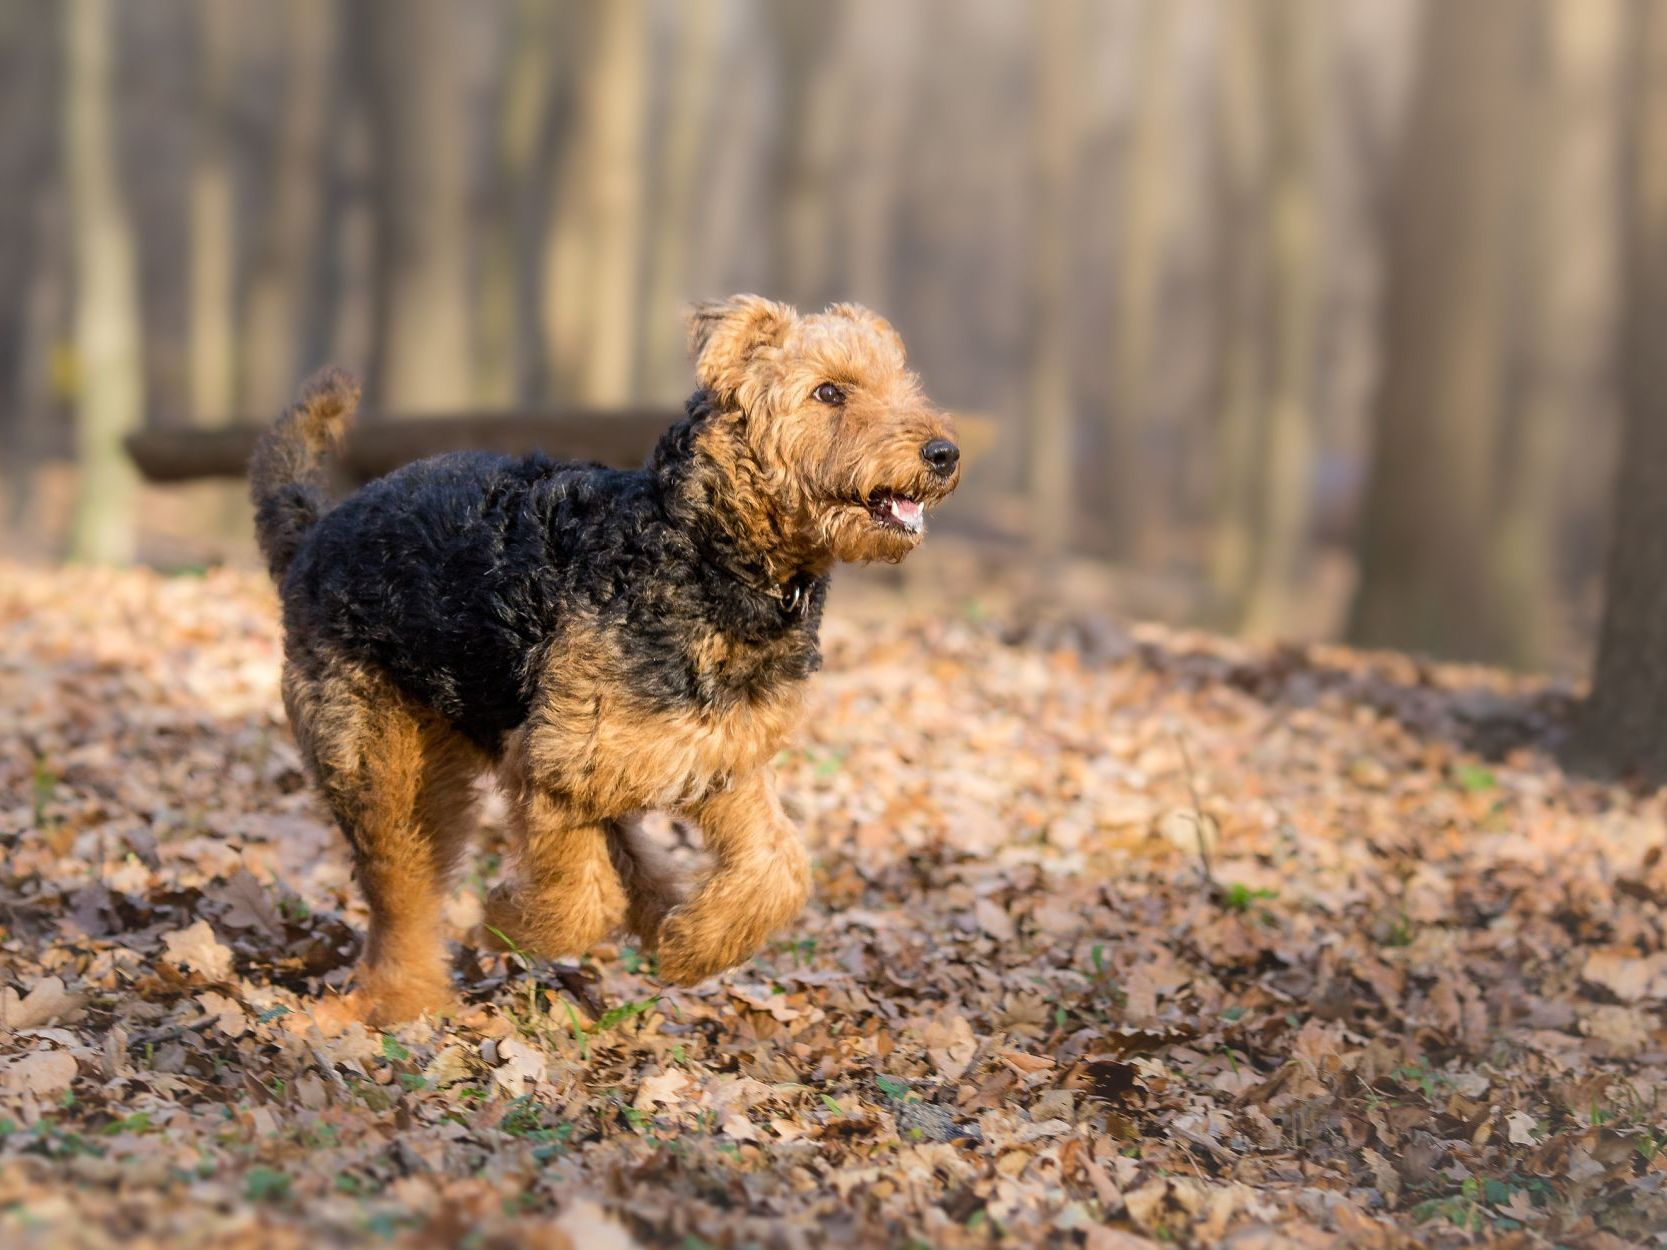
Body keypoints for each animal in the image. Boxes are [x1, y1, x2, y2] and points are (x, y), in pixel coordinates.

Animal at [245, 298, 960, 1020]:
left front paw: (691, 948)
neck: (708, 553)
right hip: (386, 768)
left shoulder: (720, 757)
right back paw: (400, 1004)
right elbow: (580, 901)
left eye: (902, 381)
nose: (944, 453)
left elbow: (777, 868)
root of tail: (313, 533)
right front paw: (505, 923)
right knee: (402, 893)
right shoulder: (554, 769)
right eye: (829, 392)